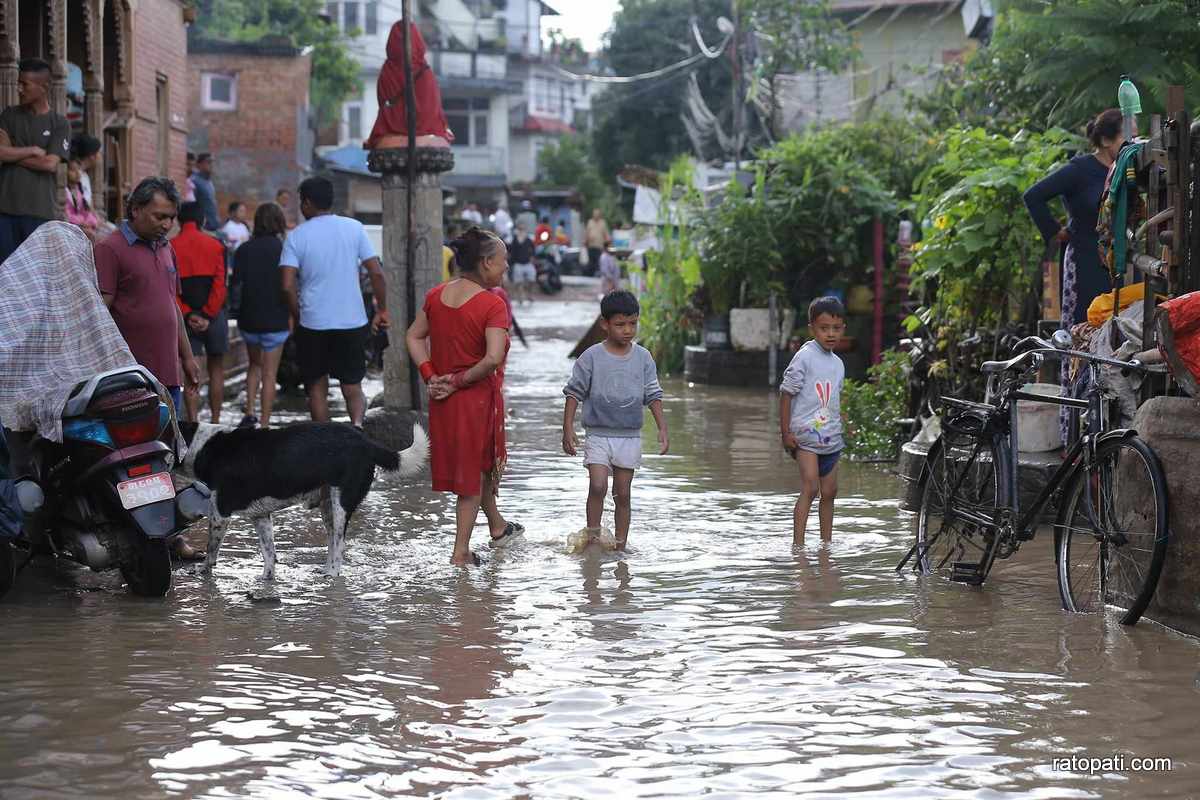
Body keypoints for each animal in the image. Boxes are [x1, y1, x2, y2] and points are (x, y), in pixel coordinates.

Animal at [180, 419, 429, 582]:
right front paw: (266, 579)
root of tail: (366, 442)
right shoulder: (261, 516)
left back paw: (331, 575)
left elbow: (211, 549)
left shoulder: (220, 512)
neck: (203, 446)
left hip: (341, 503)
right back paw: (325, 570)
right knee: (332, 541)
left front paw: (203, 570)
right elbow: (269, 552)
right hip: (327, 505)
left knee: (340, 544)